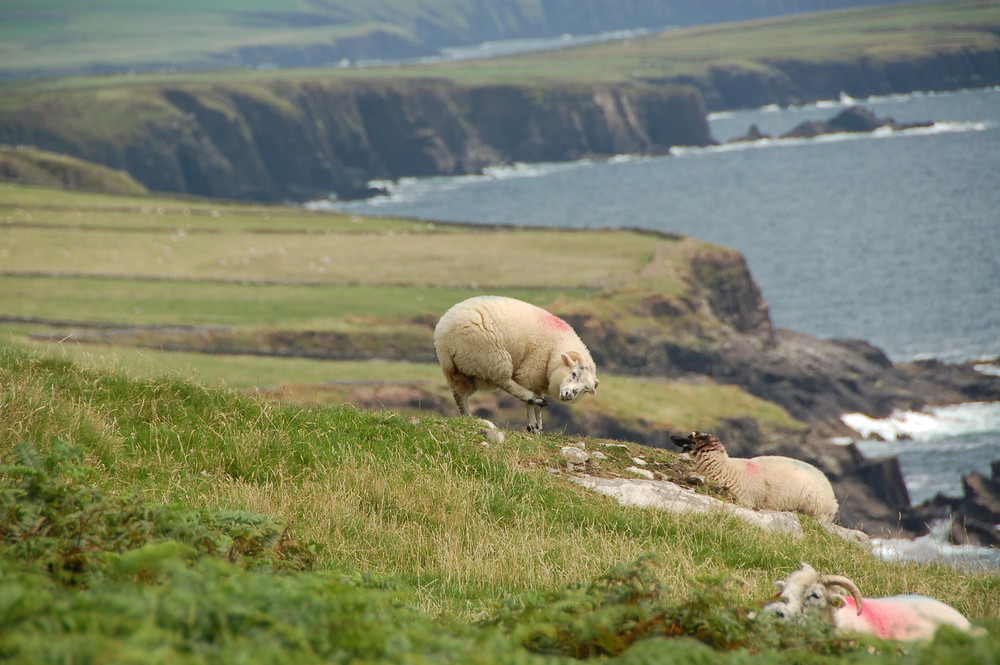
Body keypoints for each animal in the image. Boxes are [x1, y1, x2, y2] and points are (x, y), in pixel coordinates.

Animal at [434, 294, 596, 430]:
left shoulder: (538, 379)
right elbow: (530, 401)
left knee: (459, 394)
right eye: (574, 373)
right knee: (504, 381)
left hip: (457, 369)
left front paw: (538, 425)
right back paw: (533, 398)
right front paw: (532, 423)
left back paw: (468, 417)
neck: (554, 351)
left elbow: (538, 407)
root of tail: (444, 333)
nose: (569, 396)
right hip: (491, 355)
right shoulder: (531, 371)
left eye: (586, 389)